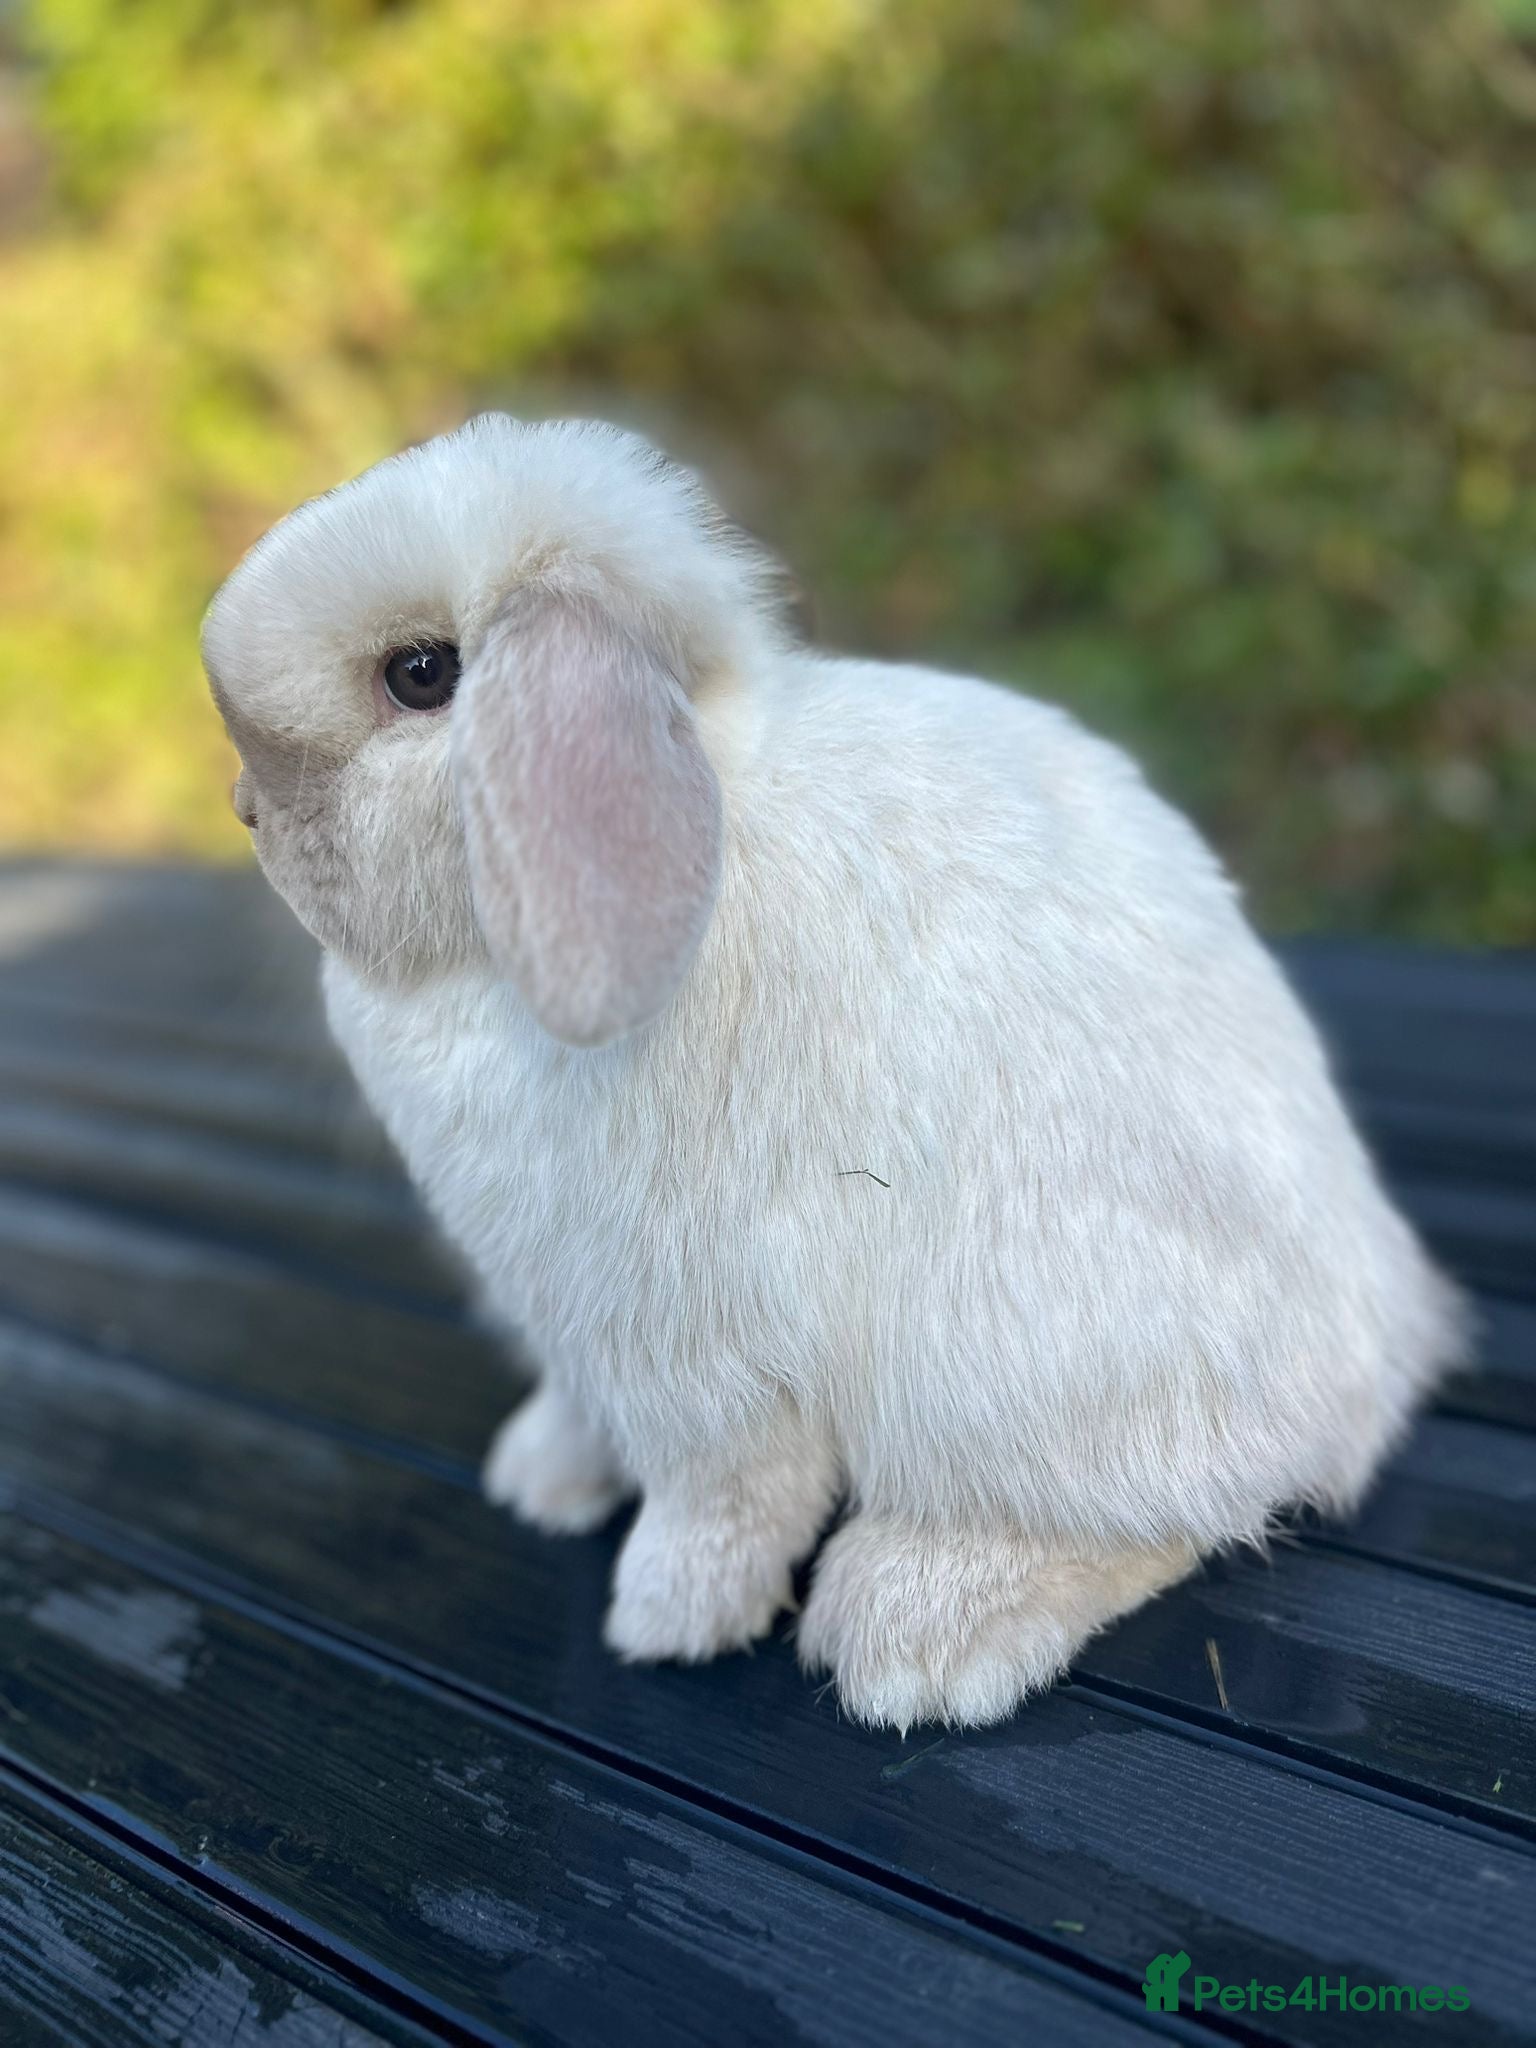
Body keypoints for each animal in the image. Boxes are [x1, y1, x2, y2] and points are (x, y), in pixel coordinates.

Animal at [202, 414, 1466, 1730]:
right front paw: (539, 1478)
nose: (243, 807)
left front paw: (663, 1619)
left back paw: (915, 1629)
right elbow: (589, 1416)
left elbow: (724, 1490)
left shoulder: (679, 1341)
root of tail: (1379, 1356)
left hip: (1003, 1363)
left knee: (1173, 1514)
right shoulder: (580, 1324)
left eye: (421, 675)